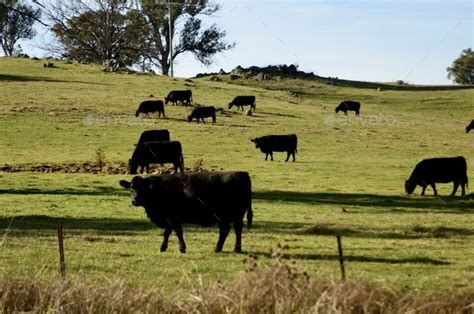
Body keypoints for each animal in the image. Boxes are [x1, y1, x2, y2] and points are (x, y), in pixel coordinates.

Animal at [119, 172, 252, 253]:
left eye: (143, 189)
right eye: (131, 188)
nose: (135, 200)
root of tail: (242, 173)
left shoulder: (173, 217)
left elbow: (177, 232)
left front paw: (181, 248)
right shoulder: (169, 218)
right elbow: (169, 232)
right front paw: (164, 247)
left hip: (234, 216)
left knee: (234, 230)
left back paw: (233, 248)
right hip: (227, 217)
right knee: (227, 230)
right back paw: (223, 248)